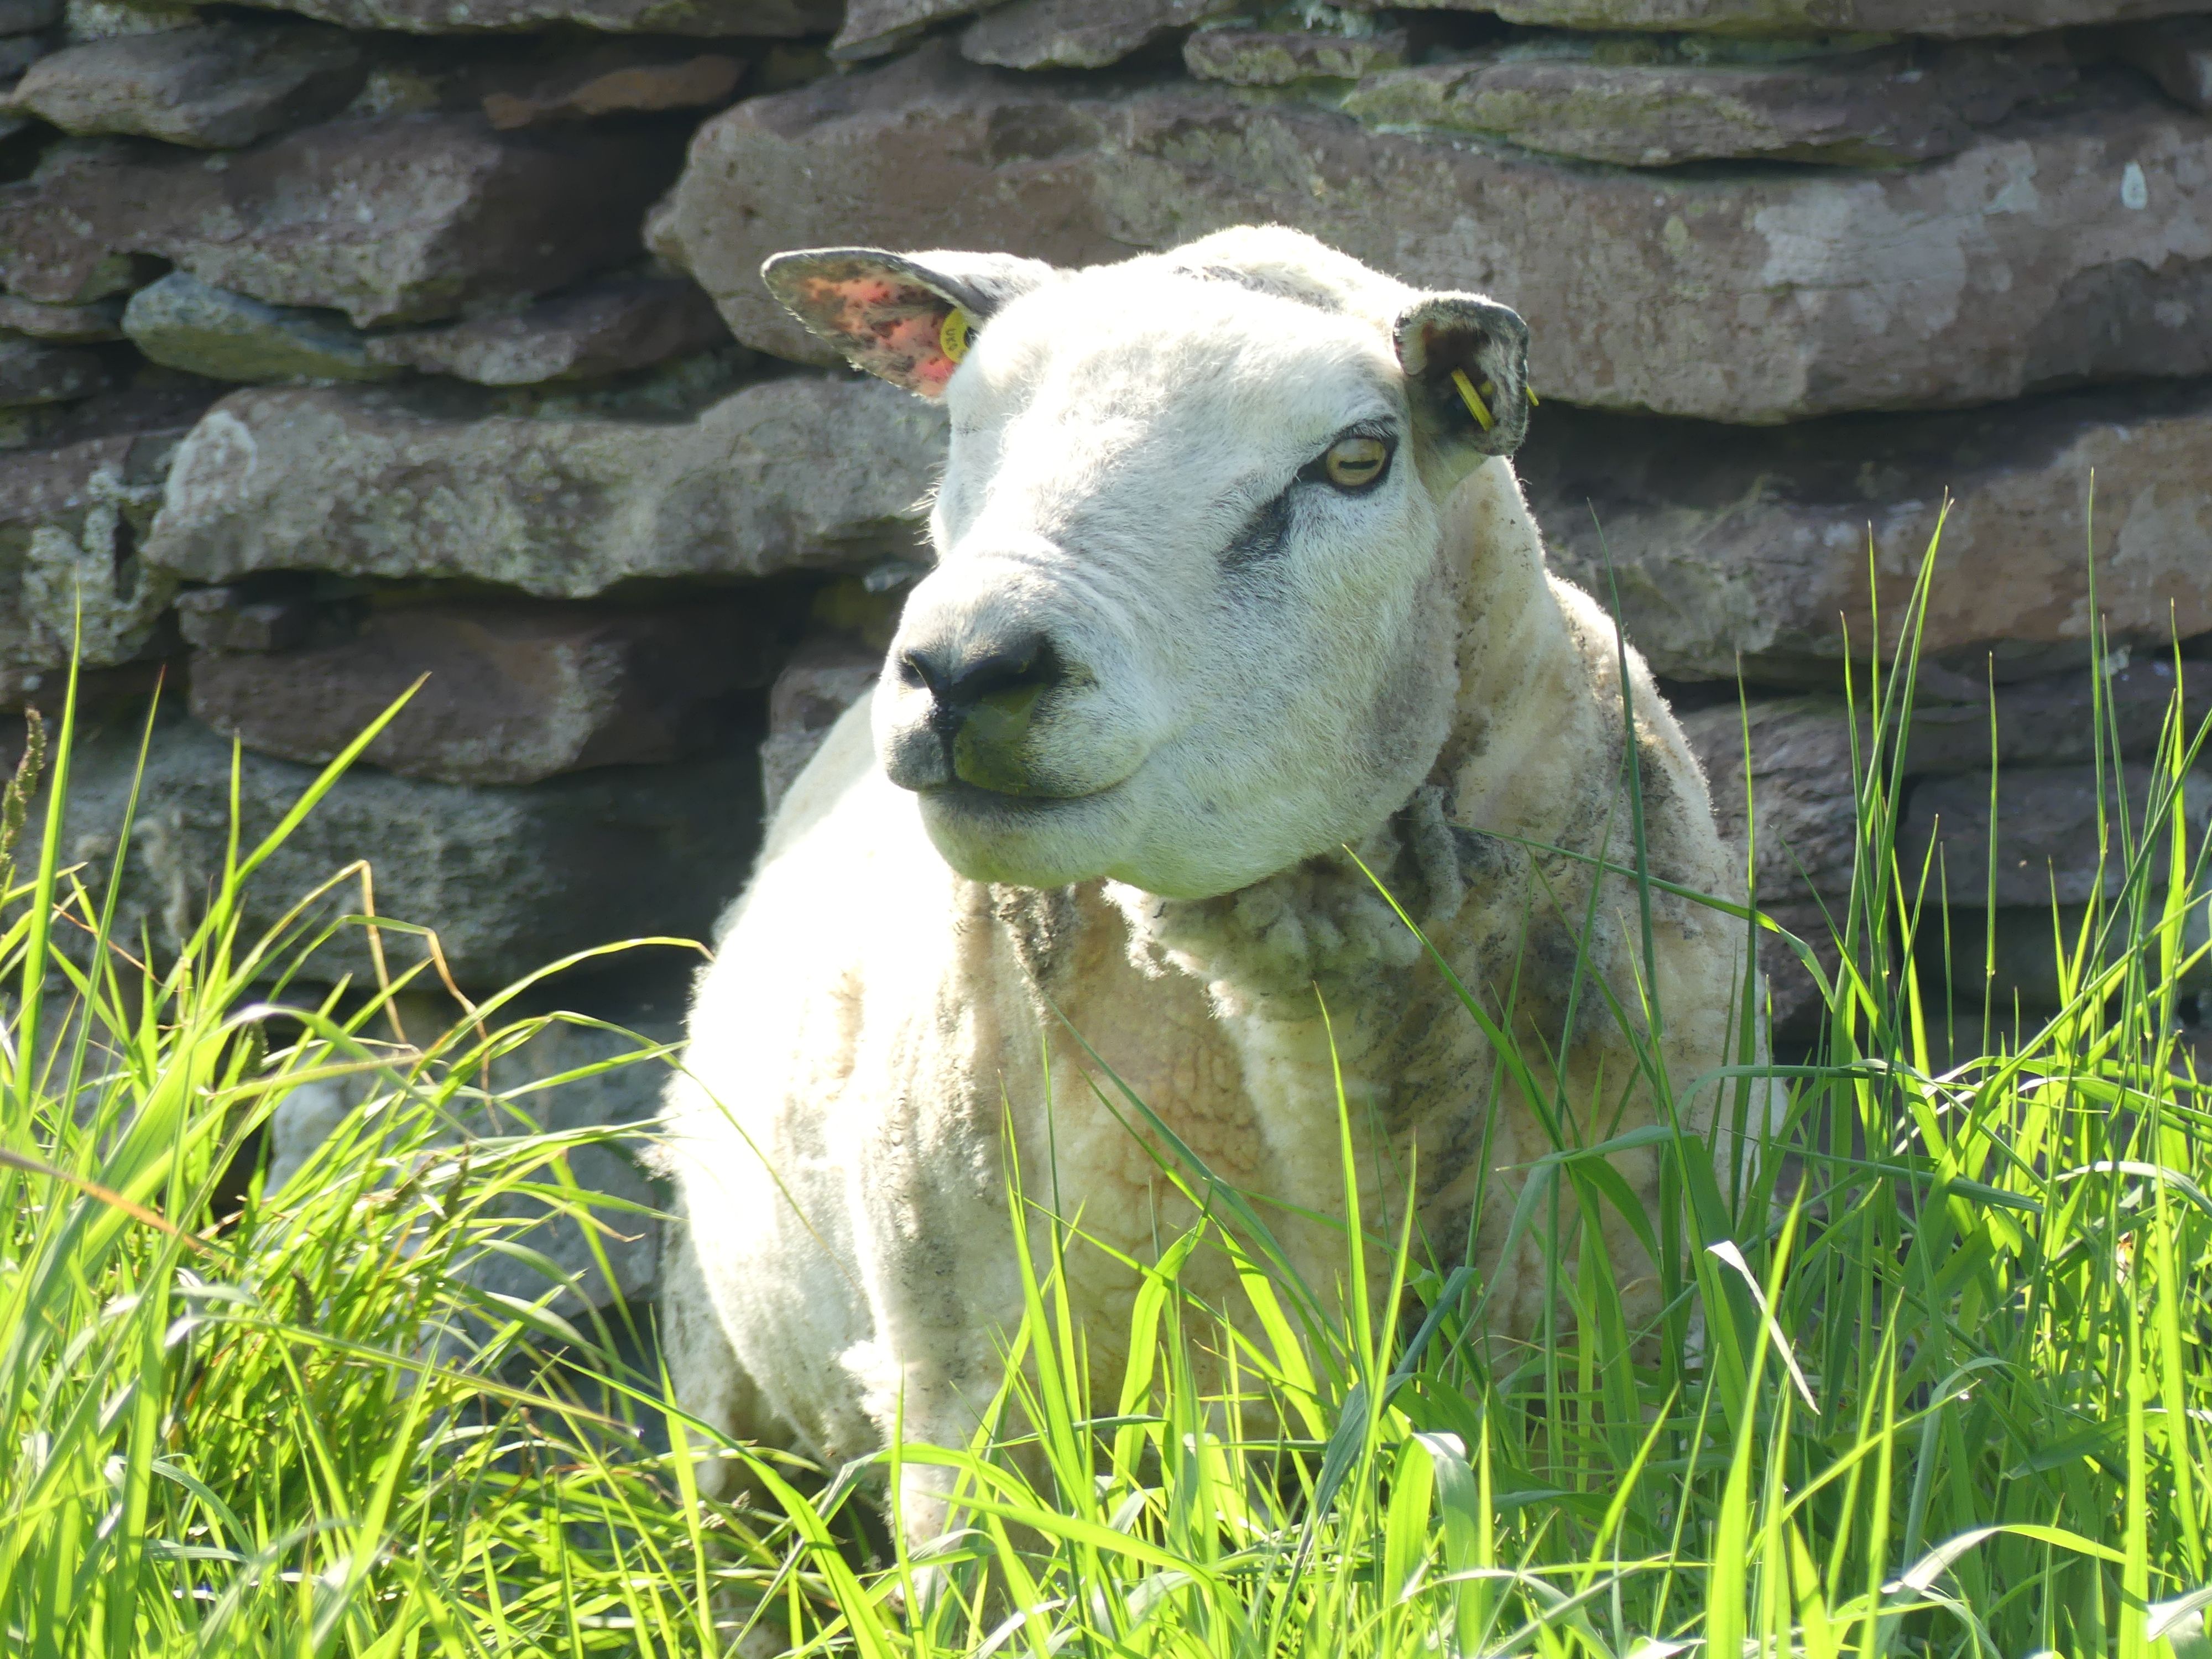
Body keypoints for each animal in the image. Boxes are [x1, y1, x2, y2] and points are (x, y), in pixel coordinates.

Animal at [660, 225, 1766, 1544]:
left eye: (1355, 460)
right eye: (964, 425)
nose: (966, 669)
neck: (1323, 1052)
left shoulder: (1646, 1333)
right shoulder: (965, 1402)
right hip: (722, 1385)